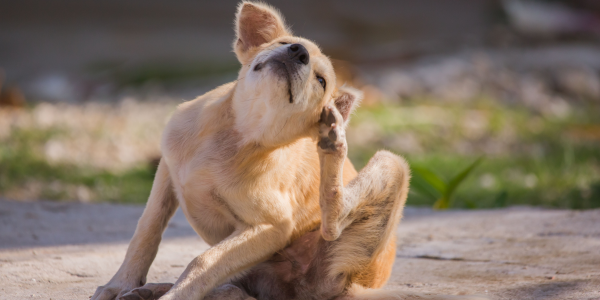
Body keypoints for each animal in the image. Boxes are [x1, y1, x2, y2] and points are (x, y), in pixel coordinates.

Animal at [94, 2, 488, 300]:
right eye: (286, 42)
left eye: (321, 81)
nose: (296, 52)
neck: (237, 134)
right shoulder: (167, 171)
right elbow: (146, 232)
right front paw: (120, 284)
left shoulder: (271, 226)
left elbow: (203, 262)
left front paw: (175, 295)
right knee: (236, 288)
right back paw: (155, 290)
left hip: (385, 175)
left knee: (331, 224)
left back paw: (333, 142)